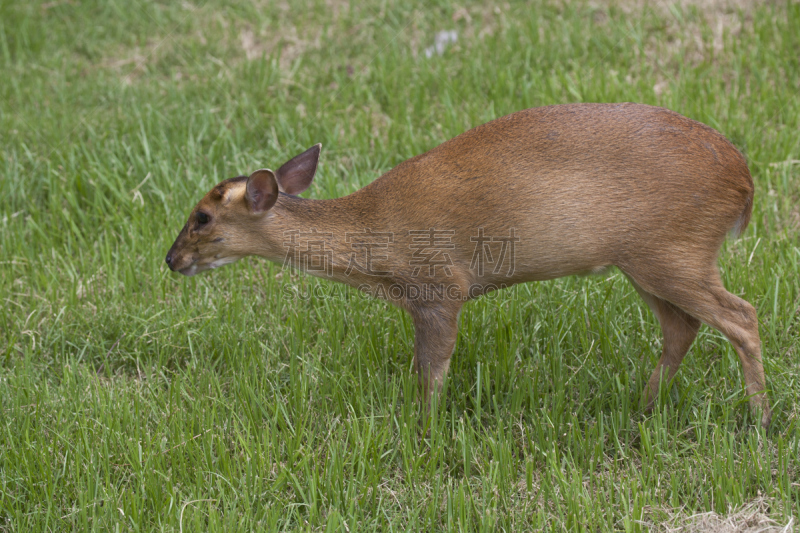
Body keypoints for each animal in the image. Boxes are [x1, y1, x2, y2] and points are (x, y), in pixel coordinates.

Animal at [166, 103, 772, 428]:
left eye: (201, 216)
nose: (172, 260)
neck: (372, 245)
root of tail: (743, 181)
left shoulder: (440, 285)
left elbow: (432, 372)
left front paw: (423, 434)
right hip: (644, 258)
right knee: (683, 326)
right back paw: (640, 410)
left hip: (674, 248)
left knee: (741, 315)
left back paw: (759, 420)